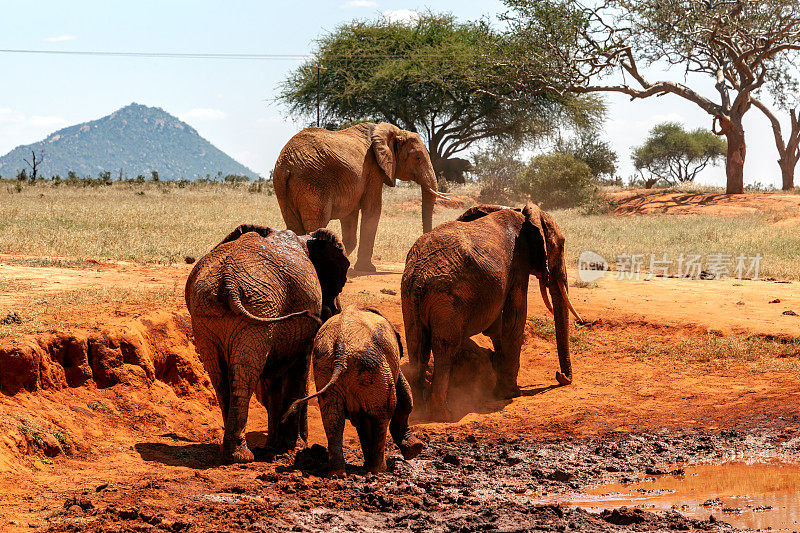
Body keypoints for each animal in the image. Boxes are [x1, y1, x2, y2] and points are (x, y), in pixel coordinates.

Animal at [189, 223, 352, 462]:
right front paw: (292, 447)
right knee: (245, 373)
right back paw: (242, 456)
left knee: (219, 374)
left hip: (207, 315)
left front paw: (277, 447)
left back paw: (231, 453)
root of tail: (227, 280)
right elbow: (298, 369)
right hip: (257, 313)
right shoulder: (301, 323)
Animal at [274, 122, 450, 272]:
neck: (392, 131)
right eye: (418, 158)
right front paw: (367, 269)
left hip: (284, 187)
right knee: (316, 223)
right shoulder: (373, 170)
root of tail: (287, 165)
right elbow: (373, 209)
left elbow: (350, 216)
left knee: (294, 225)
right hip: (313, 182)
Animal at [282, 306, 424, 476]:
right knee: (383, 414)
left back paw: (338, 474)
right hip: (370, 365)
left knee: (333, 417)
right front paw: (415, 449)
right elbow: (404, 399)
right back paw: (379, 470)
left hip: (325, 365)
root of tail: (341, 349)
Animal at [400, 204, 580, 420]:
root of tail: (418, 276)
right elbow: (515, 318)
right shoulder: (519, 264)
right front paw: (511, 394)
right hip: (446, 299)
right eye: (561, 245)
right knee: (445, 347)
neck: (524, 214)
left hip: (409, 296)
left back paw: (417, 411)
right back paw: (444, 415)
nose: (559, 376)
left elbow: (497, 326)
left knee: (417, 345)